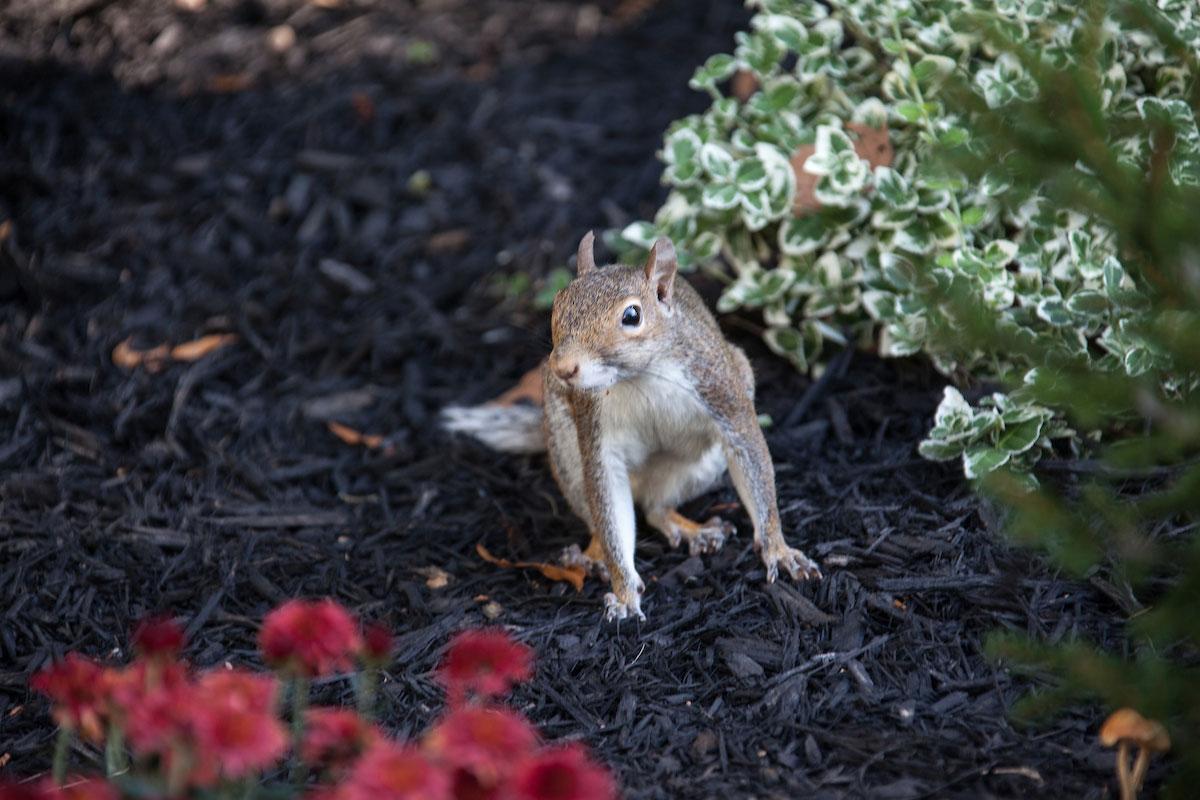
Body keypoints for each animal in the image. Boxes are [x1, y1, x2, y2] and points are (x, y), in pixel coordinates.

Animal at [446, 230, 820, 618]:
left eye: (632, 315)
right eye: (558, 305)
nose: (563, 368)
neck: (639, 377)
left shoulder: (722, 393)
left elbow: (754, 465)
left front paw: (779, 550)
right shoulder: (596, 433)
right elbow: (610, 508)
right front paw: (624, 592)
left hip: (699, 464)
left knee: (657, 508)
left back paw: (692, 530)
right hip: (566, 455)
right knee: (599, 515)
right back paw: (594, 554)